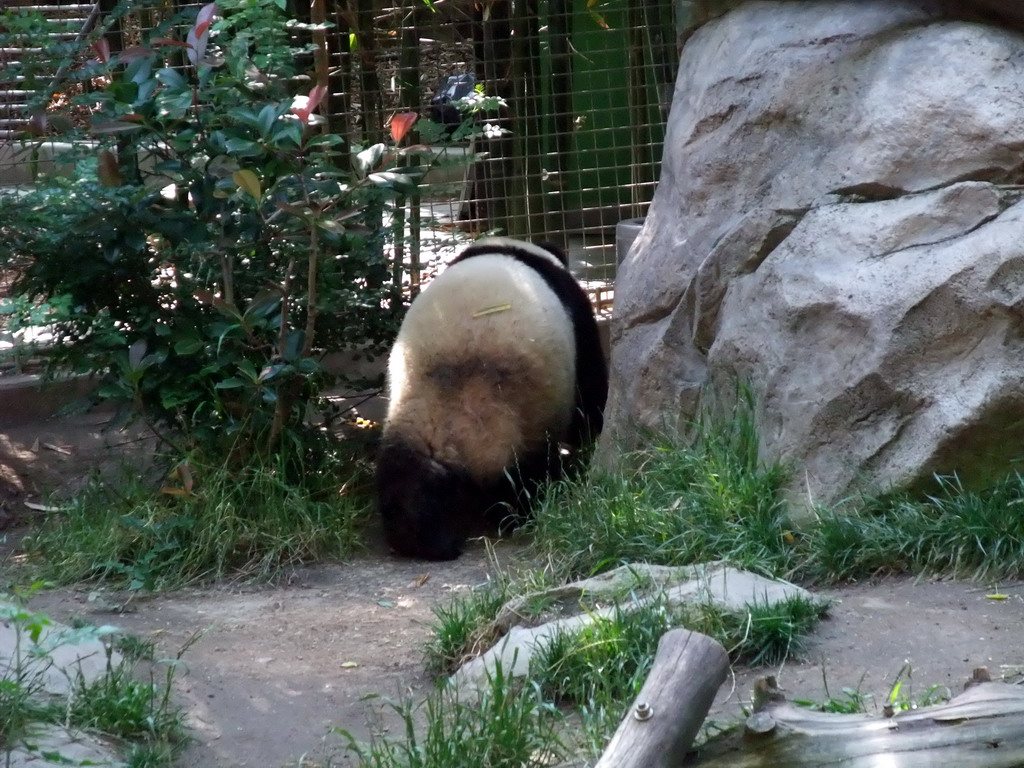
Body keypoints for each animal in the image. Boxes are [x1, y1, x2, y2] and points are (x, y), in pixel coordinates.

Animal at [380, 237, 606, 561]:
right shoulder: (577, 312)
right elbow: (589, 392)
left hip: (413, 420)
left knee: (407, 481)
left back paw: (427, 542)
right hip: (525, 420)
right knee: (527, 477)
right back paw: (521, 515)